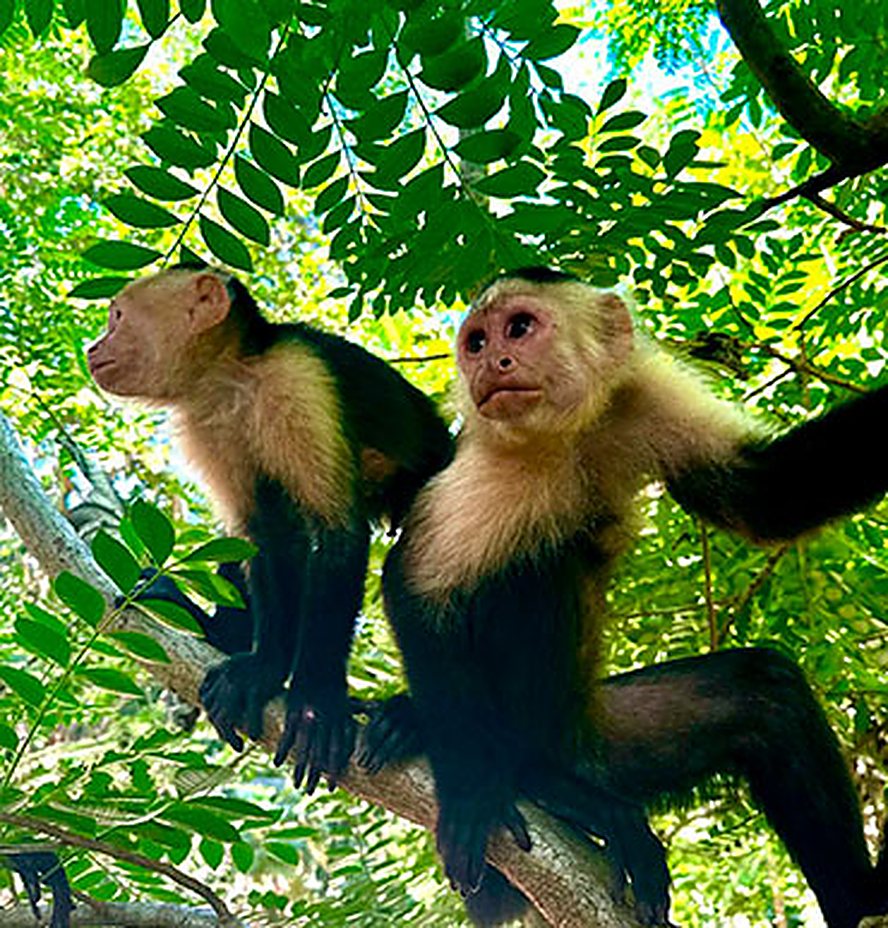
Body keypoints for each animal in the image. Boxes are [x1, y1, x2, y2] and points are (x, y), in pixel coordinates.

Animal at [87, 264, 453, 791]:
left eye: (117, 317)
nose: (93, 347)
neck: (232, 375)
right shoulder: (207, 424)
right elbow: (261, 538)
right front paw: (263, 669)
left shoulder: (296, 380)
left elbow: (337, 534)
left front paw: (315, 705)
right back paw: (215, 632)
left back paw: (413, 721)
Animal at [357, 266, 888, 927]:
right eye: (475, 342)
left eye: (519, 328)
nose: (494, 363)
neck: (568, 433)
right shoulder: (490, 462)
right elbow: (417, 587)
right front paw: (475, 788)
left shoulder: (642, 398)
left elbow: (763, 495)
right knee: (536, 559)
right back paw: (532, 775)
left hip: (603, 742)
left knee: (767, 693)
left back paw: (859, 899)